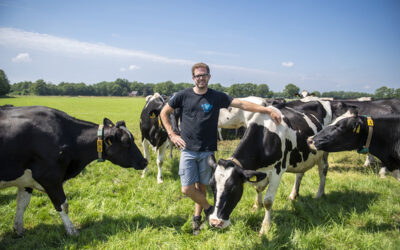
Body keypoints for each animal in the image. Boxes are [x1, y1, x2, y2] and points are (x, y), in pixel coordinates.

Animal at [0, 104, 147, 235]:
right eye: (126, 142)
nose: (145, 161)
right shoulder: (49, 177)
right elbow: (63, 205)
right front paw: (72, 231)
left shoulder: (26, 180)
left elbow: (21, 204)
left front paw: (19, 229)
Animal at [208, 98, 332, 234]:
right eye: (212, 186)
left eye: (233, 188)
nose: (215, 222)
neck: (265, 133)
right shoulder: (257, 172)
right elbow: (258, 189)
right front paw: (256, 206)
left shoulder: (277, 171)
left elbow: (268, 201)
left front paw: (265, 227)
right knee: (299, 174)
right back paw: (293, 195)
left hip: (325, 151)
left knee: (323, 170)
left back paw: (319, 194)